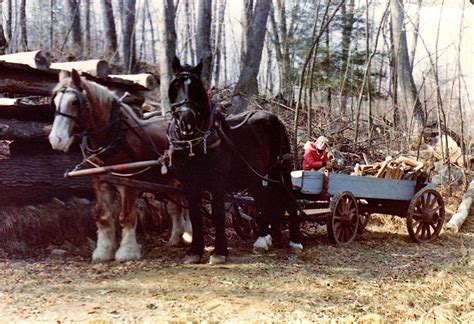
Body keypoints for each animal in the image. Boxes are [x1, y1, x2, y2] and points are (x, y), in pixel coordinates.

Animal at [47, 69, 189, 262]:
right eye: (55, 102)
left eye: (74, 102)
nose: (56, 140)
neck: (113, 137)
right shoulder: (99, 181)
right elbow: (102, 215)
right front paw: (103, 250)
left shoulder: (128, 182)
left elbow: (126, 216)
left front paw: (127, 251)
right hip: (169, 180)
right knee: (176, 207)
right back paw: (176, 237)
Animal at [167, 55, 302, 264]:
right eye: (175, 86)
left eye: (197, 88)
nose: (186, 120)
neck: (194, 145)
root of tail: (274, 117)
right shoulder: (190, 184)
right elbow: (196, 215)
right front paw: (194, 251)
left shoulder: (217, 183)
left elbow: (217, 214)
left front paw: (219, 252)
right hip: (255, 174)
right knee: (262, 200)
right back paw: (262, 240)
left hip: (281, 170)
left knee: (289, 198)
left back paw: (295, 241)